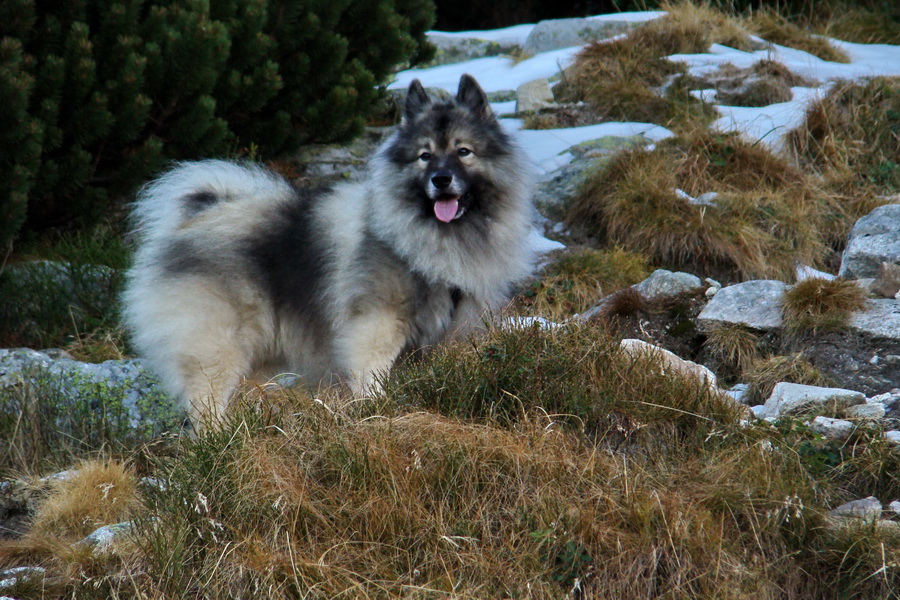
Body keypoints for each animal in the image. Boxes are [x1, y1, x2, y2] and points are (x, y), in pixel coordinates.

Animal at [124, 74, 536, 426]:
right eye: (424, 155)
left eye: (464, 151)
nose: (441, 179)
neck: (432, 240)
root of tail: (195, 218)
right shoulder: (376, 327)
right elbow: (371, 379)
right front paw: (374, 414)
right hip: (219, 346)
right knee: (205, 404)